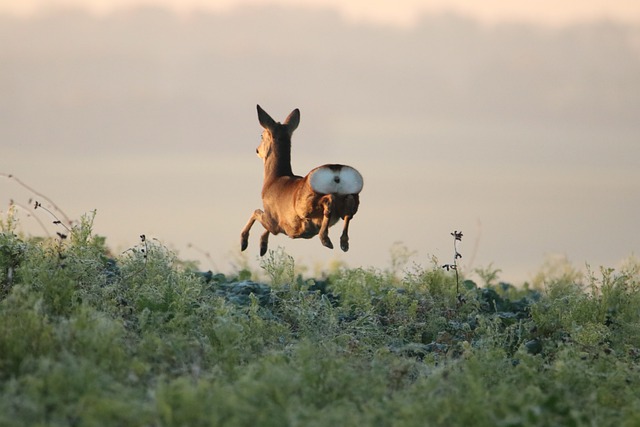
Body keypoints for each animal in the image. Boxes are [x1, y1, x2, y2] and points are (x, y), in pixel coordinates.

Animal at [240, 105, 362, 256]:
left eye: (261, 135)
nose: (257, 150)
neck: (272, 180)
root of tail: (336, 171)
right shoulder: (276, 223)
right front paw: (262, 247)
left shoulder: (273, 220)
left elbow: (255, 212)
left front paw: (245, 242)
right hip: (353, 196)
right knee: (348, 211)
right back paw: (343, 243)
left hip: (306, 203)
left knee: (329, 202)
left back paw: (325, 238)